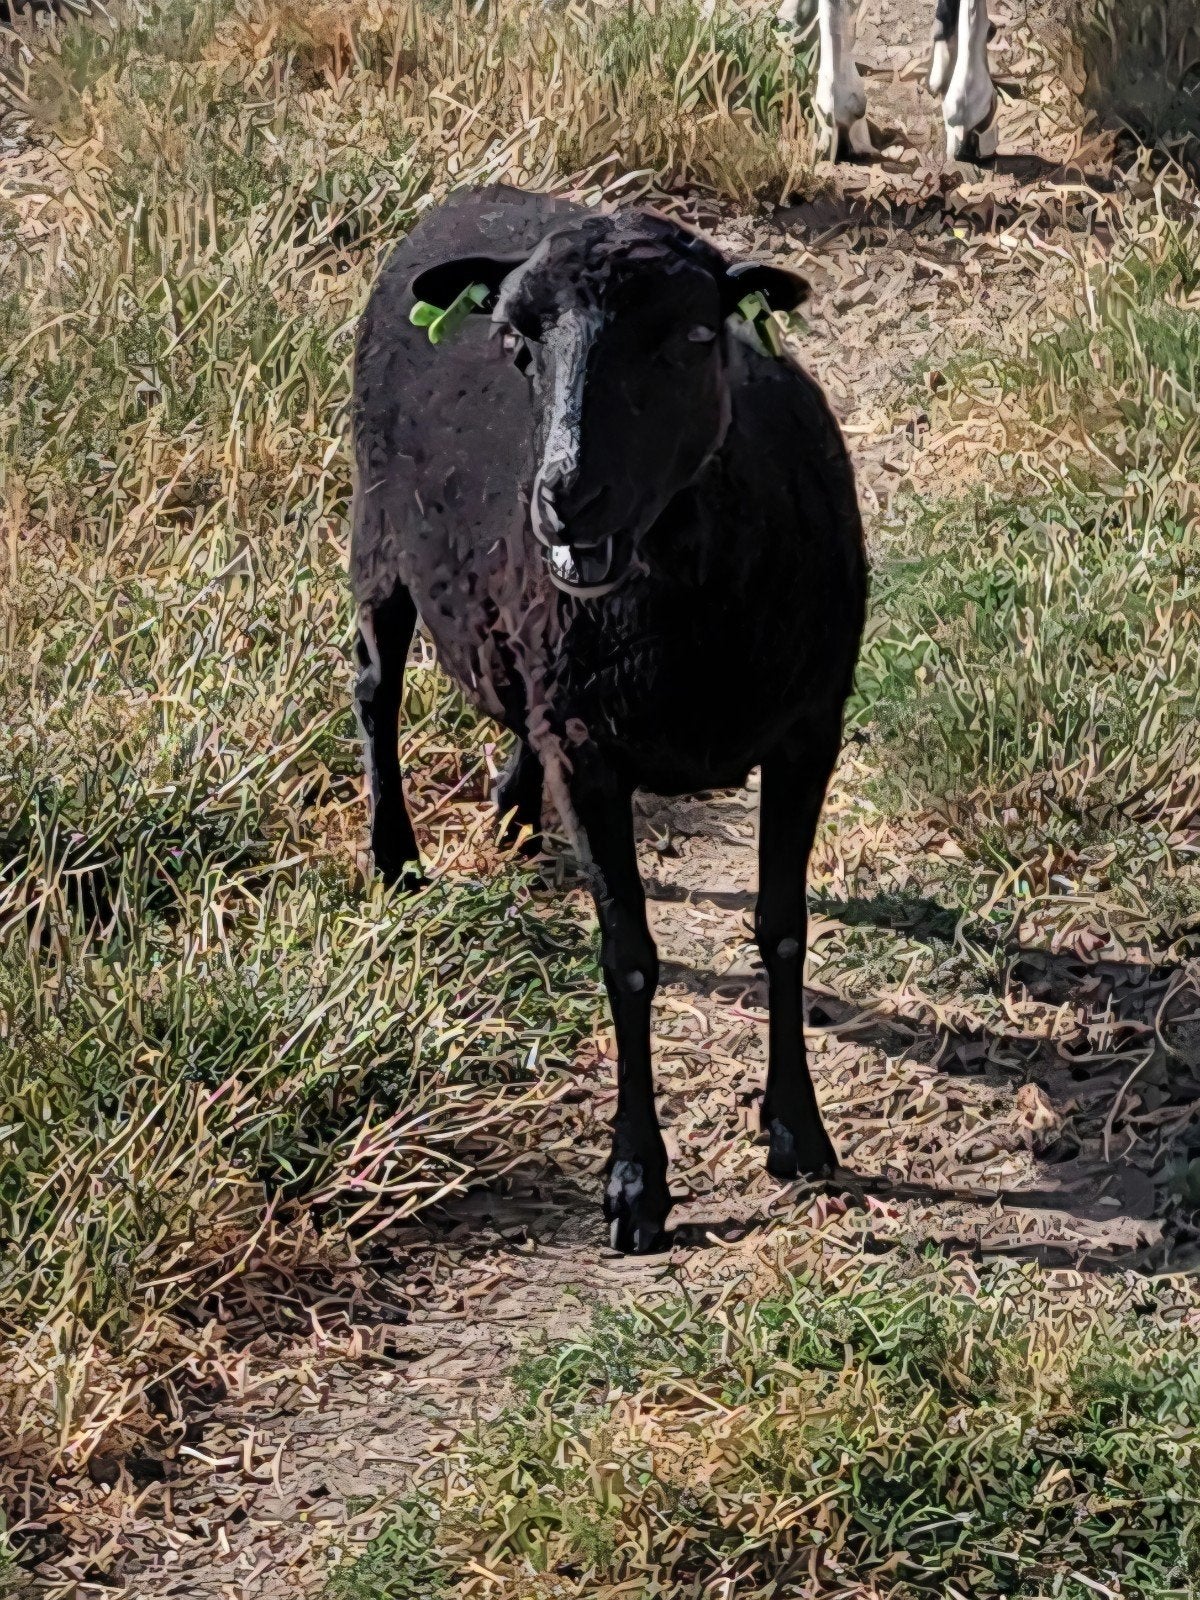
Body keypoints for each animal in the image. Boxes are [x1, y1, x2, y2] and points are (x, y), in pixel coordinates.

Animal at [350, 185, 867, 1253]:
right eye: (515, 343)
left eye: (698, 336)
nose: (565, 501)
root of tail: (469, 193)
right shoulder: (590, 751)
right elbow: (628, 961)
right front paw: (637, 1180)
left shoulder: (808, 729)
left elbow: (784, 928)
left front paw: (798, 1132)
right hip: (376, 535)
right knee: (375, 688)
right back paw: (396, 858)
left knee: (505, 704)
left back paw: (511, 810)